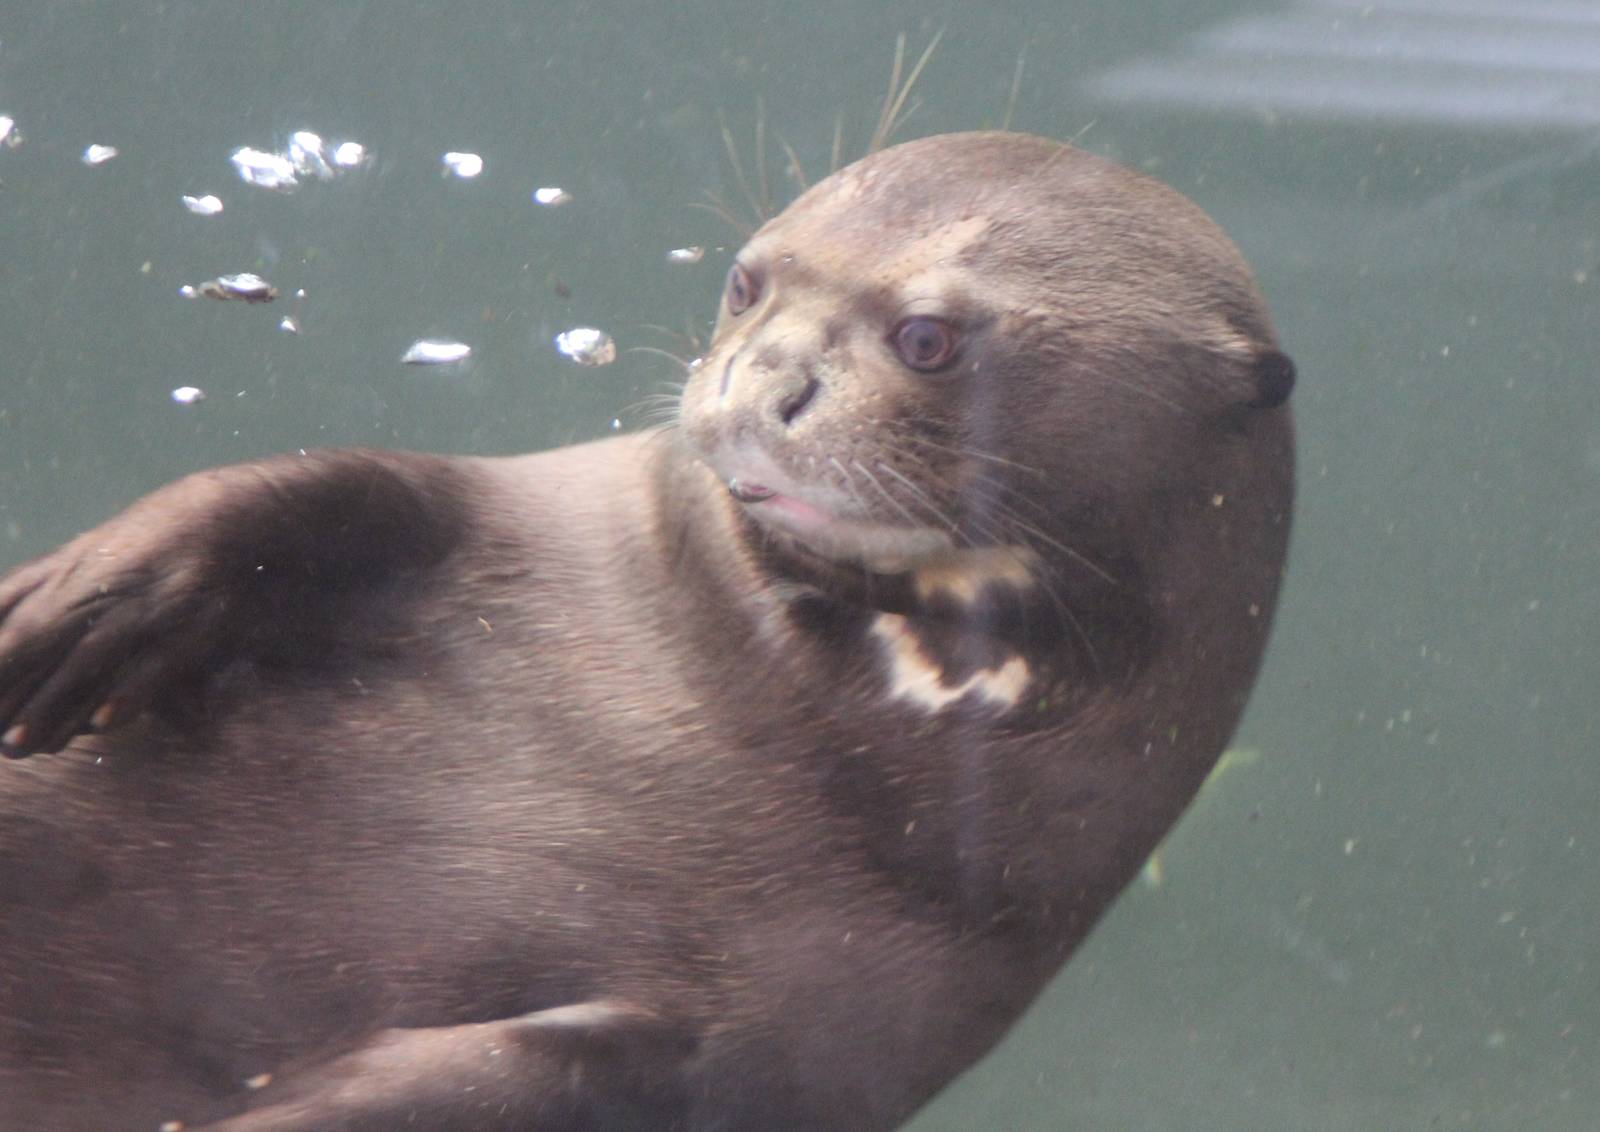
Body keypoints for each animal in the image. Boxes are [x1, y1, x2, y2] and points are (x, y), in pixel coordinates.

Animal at [0, 131, 1294, 1130]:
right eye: (747, 281)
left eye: (925, 338)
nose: (763, 379)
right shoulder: (530, 507)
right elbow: (340, 491)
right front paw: (75, 607)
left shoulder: (790, 1041)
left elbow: (535, 1080)